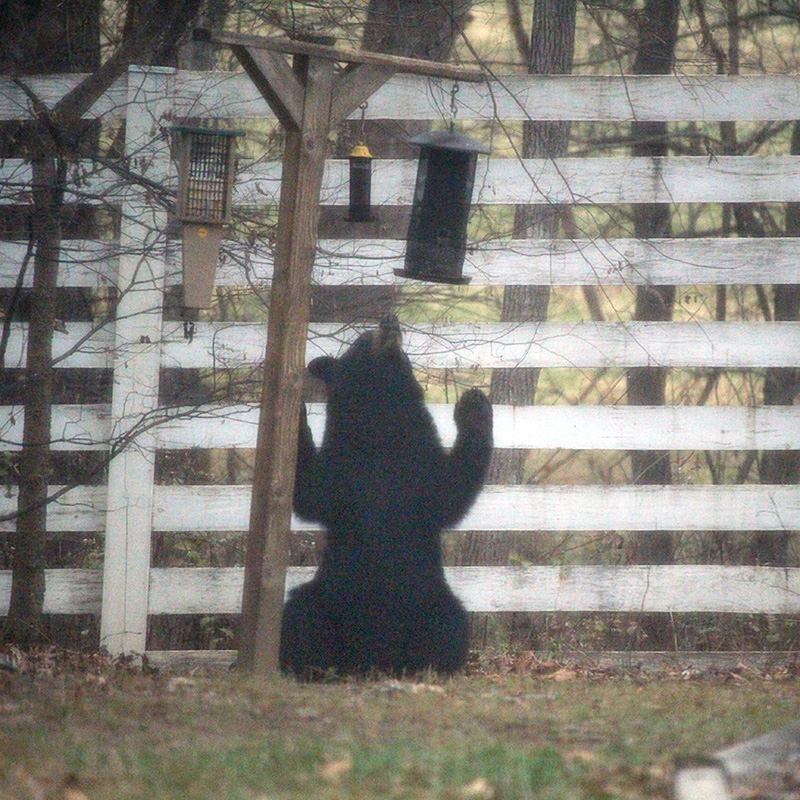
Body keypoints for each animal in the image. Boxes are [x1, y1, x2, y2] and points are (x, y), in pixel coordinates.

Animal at [279, 314, 493, 679]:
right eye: (363, 339)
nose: (390, 320)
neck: (383, 425)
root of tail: (373, 659)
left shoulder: (419, 467)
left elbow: (450, 491)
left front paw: (475, 406)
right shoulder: (343, 472)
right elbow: (312, 492)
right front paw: (297, 415)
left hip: (429, 601)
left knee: (451, 623)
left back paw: (431, 666)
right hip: (329, 598)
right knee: (299, 615)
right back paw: (309, 666)